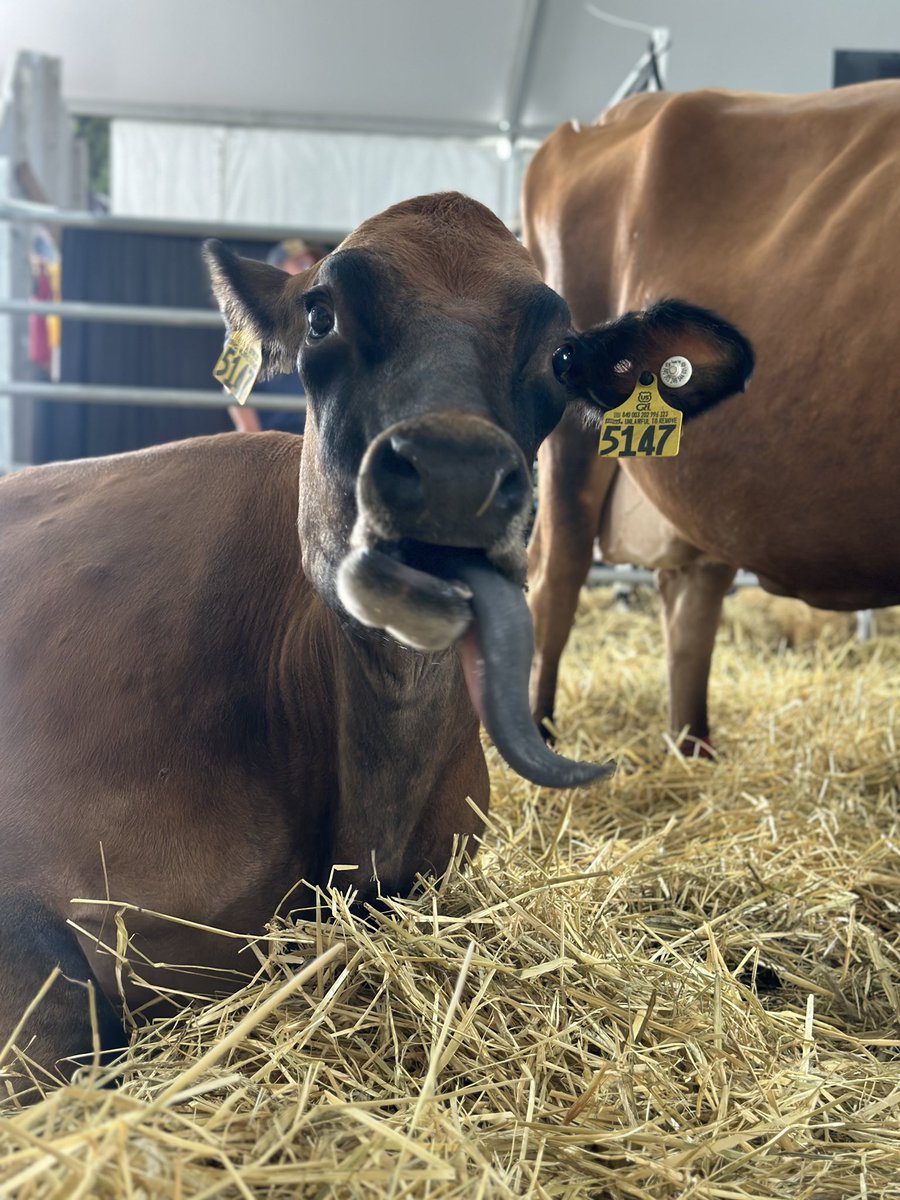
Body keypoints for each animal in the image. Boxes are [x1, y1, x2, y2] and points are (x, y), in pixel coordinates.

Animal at [524, 81, 900, 751]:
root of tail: (595, 122)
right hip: (567, 450)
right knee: (554, 580)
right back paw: (540, 739)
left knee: (689, 602)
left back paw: (692, 750)